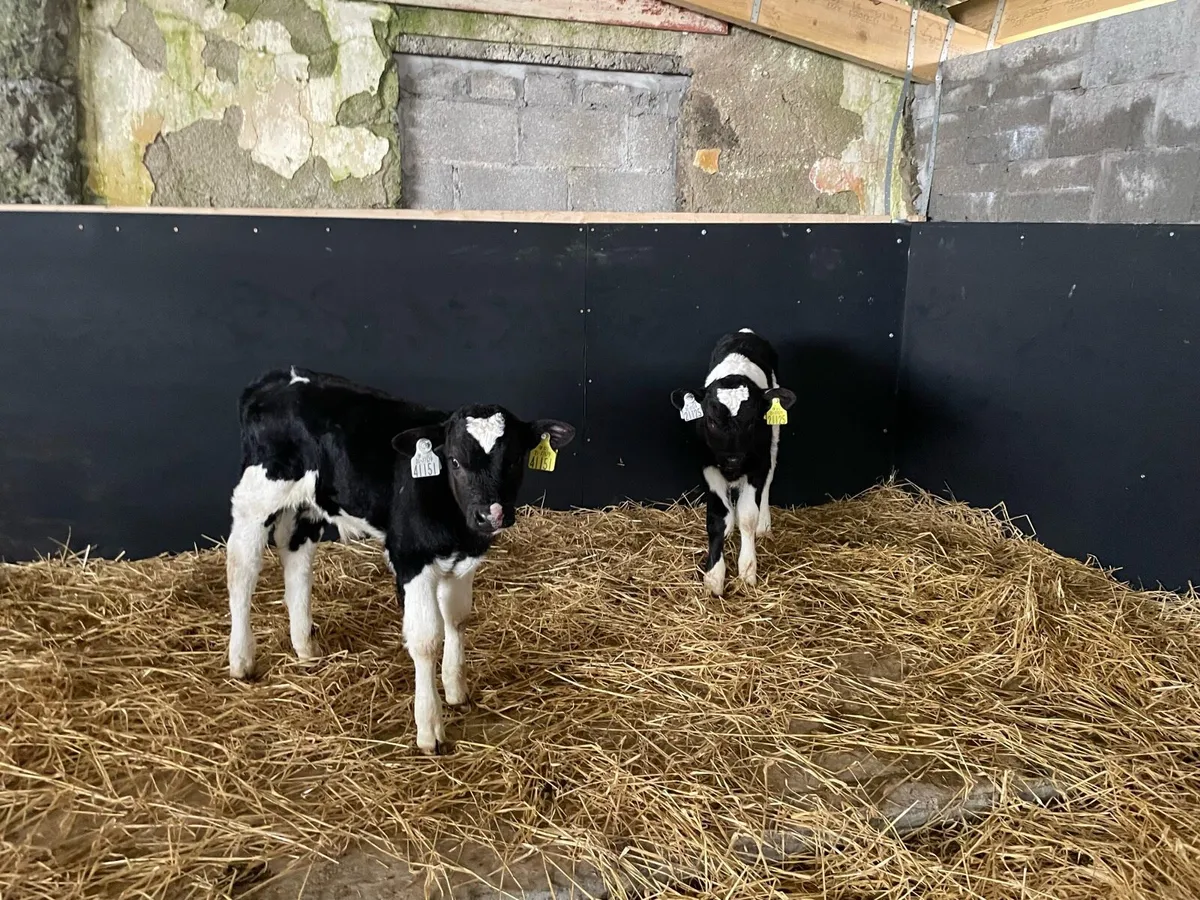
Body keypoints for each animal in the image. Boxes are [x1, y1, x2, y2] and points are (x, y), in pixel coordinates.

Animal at [225, 367, 575, 753]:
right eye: (454, 460)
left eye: (513, 459)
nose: (490, 515)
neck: (455, 522)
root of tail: (277, 377)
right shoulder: (411, 559)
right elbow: (425, 639)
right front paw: (429, 728)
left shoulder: (464, 562)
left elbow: (457, 620)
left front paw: (456, 690)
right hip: (257, 495)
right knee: (242, 569)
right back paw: (241, 660)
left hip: (309, 503)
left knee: (296, 557)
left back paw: (305, 646)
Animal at [671, 330, 795, 597]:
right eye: (711, 420)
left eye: (752, 421)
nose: (732, 458)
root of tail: (745, 333)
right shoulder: (708, 465)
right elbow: (718, 518)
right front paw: (714, 576)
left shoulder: (757, 464)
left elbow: (747, 516)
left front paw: (747, 570)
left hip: (774, 439)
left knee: (769, 480)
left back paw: (764, 524)